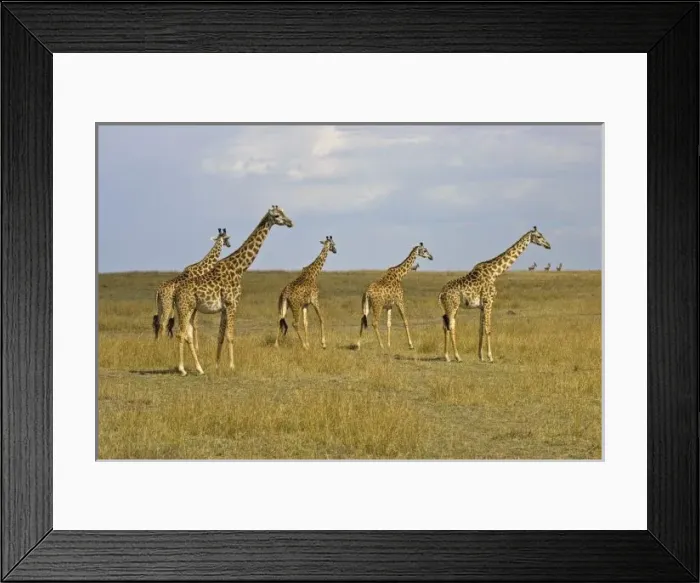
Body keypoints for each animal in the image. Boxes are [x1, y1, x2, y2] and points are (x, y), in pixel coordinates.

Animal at [172, 205, 293, 376]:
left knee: (187, 334)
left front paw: (217, 365)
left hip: (191, 310)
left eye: (284, 212)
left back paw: (200, 369)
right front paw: (231, 366)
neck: (239, 269)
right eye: (277, 215)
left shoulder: (224, 308)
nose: (290, 222)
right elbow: (230, 336)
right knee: (180, 333)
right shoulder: (232, 304)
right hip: (184, 308)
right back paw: (182, 369)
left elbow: (220, 336)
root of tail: (175, 293)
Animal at [439, 226, 551, 363]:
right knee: (450, 326)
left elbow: (481, 329)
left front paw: (481, 356)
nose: (548, 245)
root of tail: (441, 293)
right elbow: (488, 329)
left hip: (449, 307)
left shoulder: (482, 306)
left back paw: (448, 356)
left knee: (446, 325)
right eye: (539, 236)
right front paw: (490, 357)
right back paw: (456, 357)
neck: (494, 273)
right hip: (453, 306)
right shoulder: (489, 301)